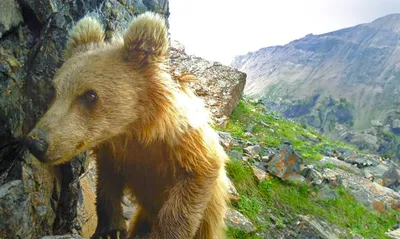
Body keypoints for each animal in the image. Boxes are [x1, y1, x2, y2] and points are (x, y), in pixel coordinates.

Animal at [25, 12, 228, 239]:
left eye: (90, 95)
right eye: (54, 90)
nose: (36, 142)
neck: (136, 129)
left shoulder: (186, 148)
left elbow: (190, 191)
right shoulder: (115, 152)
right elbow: (107, 185)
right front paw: (110, 229)